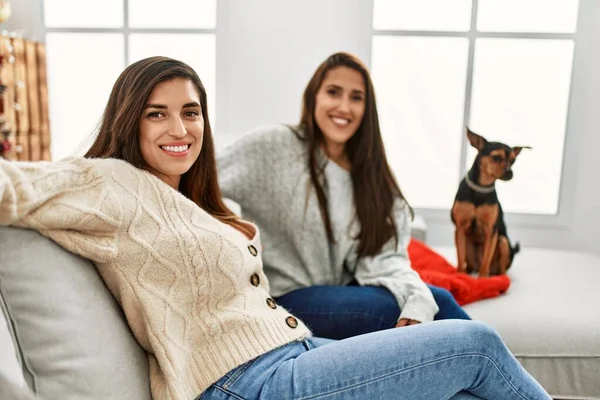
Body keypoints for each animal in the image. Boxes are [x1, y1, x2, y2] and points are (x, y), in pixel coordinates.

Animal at [450, 126, 528, 276]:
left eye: (513, 161)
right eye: (496, 157)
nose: (510, 172)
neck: (481, 188)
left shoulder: (491, 231)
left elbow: (485, 262)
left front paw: (482, 279)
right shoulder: (460, 228)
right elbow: (460, 257)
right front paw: (459, 276)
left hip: (503, 242)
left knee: (500, 270)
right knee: (466, 263)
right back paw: (466, 272)